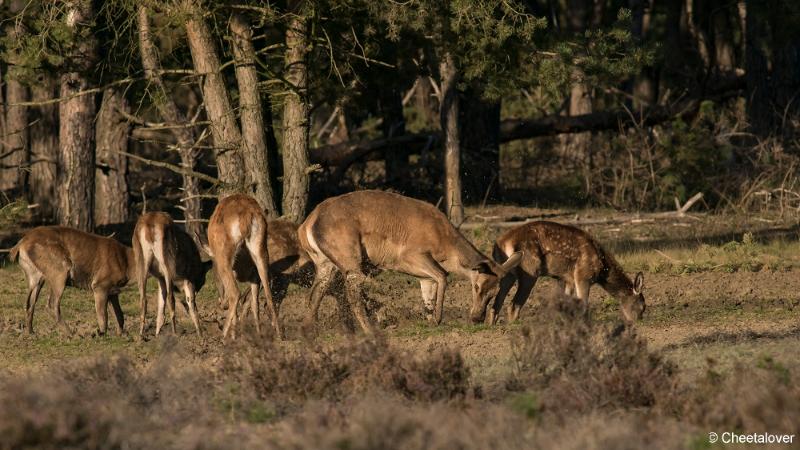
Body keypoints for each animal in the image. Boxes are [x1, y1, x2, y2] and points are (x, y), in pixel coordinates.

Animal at [205, 192, 280, 338]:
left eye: (213, 274)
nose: (221, 303)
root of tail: (247, 214)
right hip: (260, 247)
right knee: (268, 293)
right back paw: (278, 335)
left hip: (225, 253)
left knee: (235, 293)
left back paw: (224, 337)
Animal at [296, 188, 524, 332]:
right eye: (476, 287)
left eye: (496, 292)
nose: (477, 317)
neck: (444, 246)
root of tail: (306, 226)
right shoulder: (410, 253)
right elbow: (443, 275)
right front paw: (438, 319)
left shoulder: (423, 276)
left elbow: (429, 290)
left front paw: (430, 320)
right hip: (349, 254)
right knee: (351, 293)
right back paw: (369, 329)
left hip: (325, 261)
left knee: (314, 293)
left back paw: (309, 330)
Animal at [484, 221, 648, 324]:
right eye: (643, 306)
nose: (639, 320)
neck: (602, 270)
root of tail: (501, 243)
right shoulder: (582, 275)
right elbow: (583, 304)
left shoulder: (566, 278)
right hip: (530, 270)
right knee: (513, 305)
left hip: (507, 272)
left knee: (497, 301)